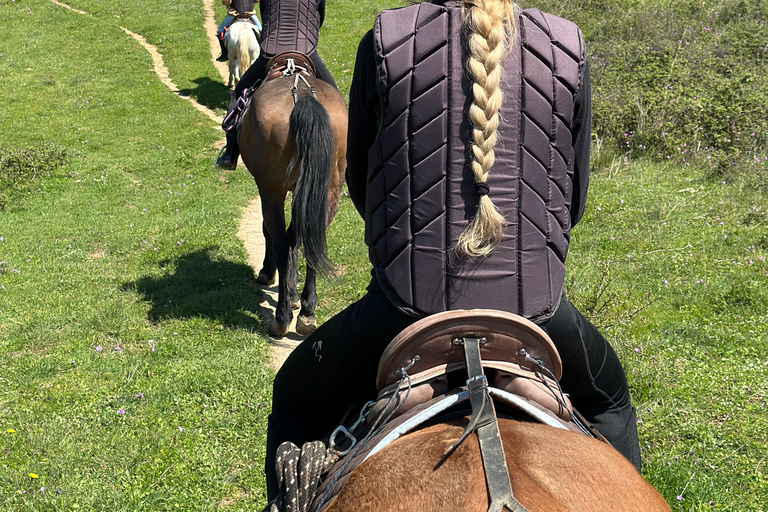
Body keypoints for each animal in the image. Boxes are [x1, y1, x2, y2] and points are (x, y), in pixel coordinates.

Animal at [239, 74, 347, 337]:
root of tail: (305, 95)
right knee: (310, 240)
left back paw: (281, 317)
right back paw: (307, 313)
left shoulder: (267, 189)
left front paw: (269, 274)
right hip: (328, 190)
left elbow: (271, 232)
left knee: (280, 239)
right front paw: (294, 293)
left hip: (272, 191)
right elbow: (296, 237)